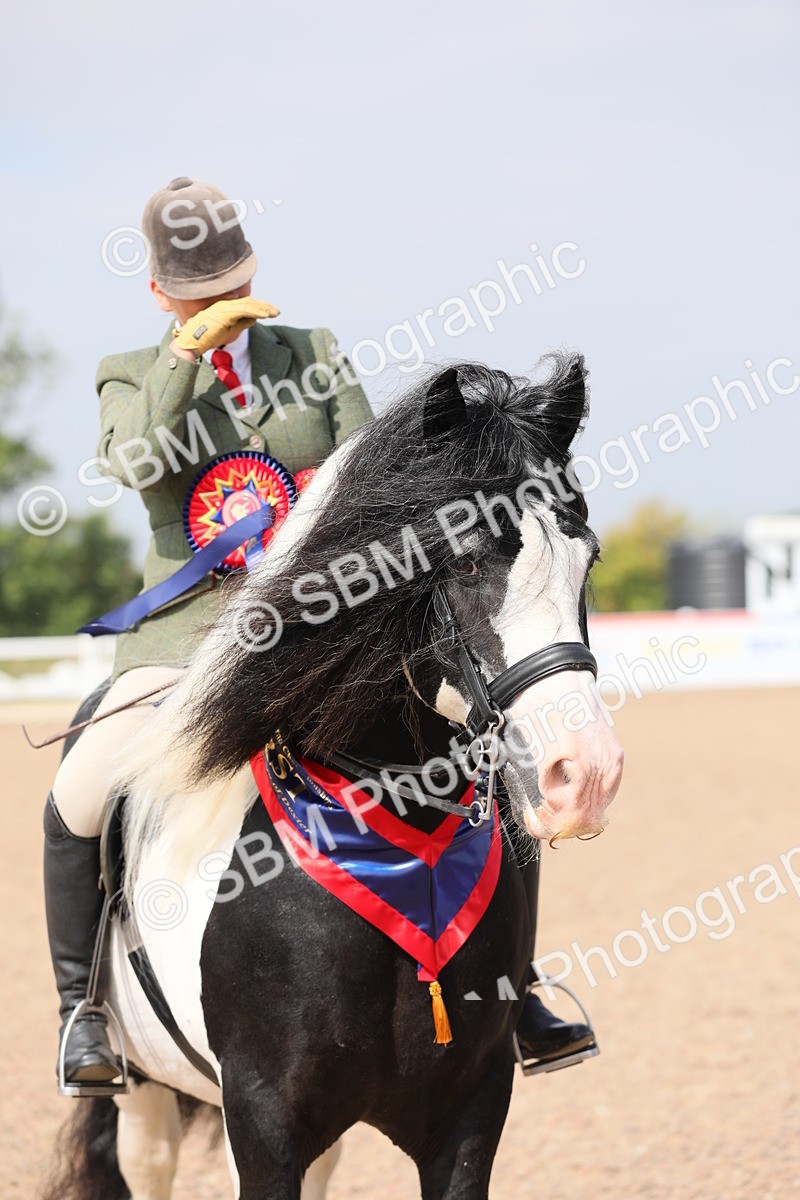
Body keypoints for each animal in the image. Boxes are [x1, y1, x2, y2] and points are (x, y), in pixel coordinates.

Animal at [43, 353, 624, 1200]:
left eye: (588, 558)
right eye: (468, 557)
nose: (584, 775)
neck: (388, 834)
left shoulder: (472, 1111)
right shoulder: (262, 1118)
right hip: (143, 1088)